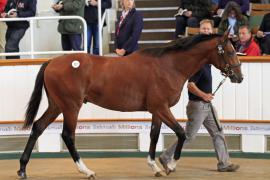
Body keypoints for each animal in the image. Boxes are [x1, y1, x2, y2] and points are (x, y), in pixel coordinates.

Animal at [17, 32, 244, 180]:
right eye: (229, 51)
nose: (239, 77)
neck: (169, 66)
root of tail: (52, 62)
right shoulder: (162, 108)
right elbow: (181, 133)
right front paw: (170, 165)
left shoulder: (156, 110)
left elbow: (154, 136)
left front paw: (155, 167)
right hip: (71, 107)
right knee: (68, 136)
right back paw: (87, 171)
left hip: (56, 106)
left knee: (37, 127)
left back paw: (22, 169)